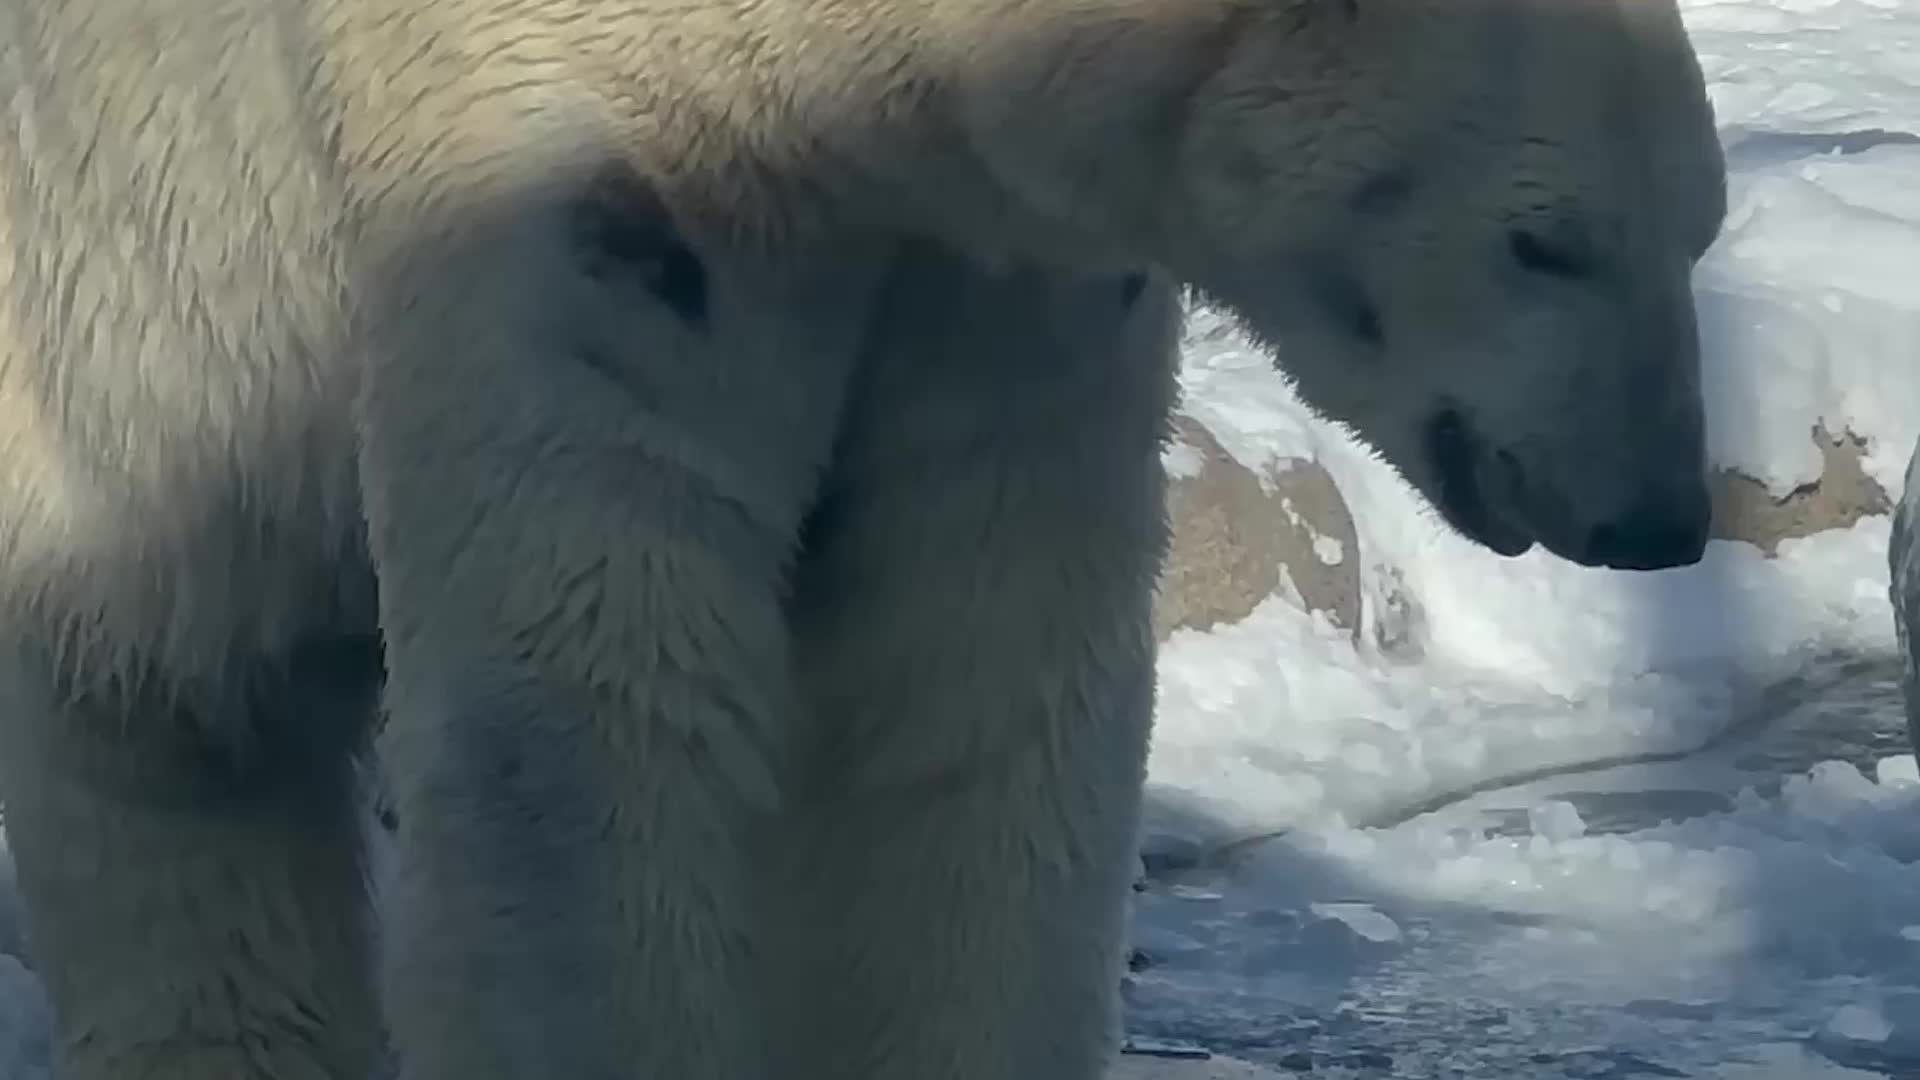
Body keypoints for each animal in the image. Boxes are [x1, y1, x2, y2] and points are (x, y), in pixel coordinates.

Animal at [0, 0, 1728, 1077]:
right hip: (117, 301)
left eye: (1699, 226)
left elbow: (975, 669)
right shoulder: (589, 170)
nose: (1658, 514)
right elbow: (592, 695)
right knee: (162, 726)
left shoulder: (979, 267)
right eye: (1547, 242)